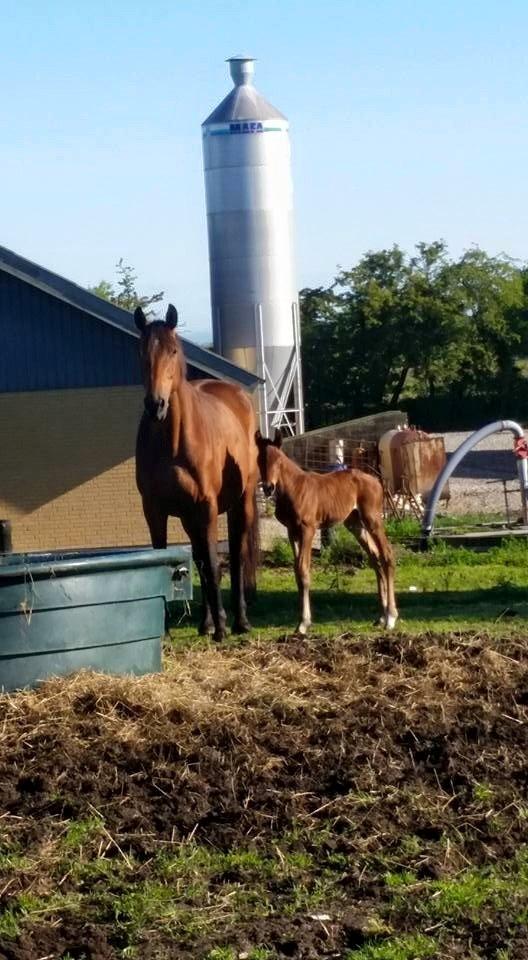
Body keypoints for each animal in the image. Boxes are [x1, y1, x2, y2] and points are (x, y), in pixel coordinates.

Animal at [255, 432, 396, 632]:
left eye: (278, 460)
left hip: (373, 519)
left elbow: (303, 570)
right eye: (260, 459)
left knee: (387, 555)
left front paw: (303, 623)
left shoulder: (308, 529)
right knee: (375, 558)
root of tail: (377, 481)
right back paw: (381, 617)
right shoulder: (292, 531)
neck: (293, 488)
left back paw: (391, 617)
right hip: (355, 524)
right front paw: (301, 621)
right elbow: (297, 573)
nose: (268, 487)